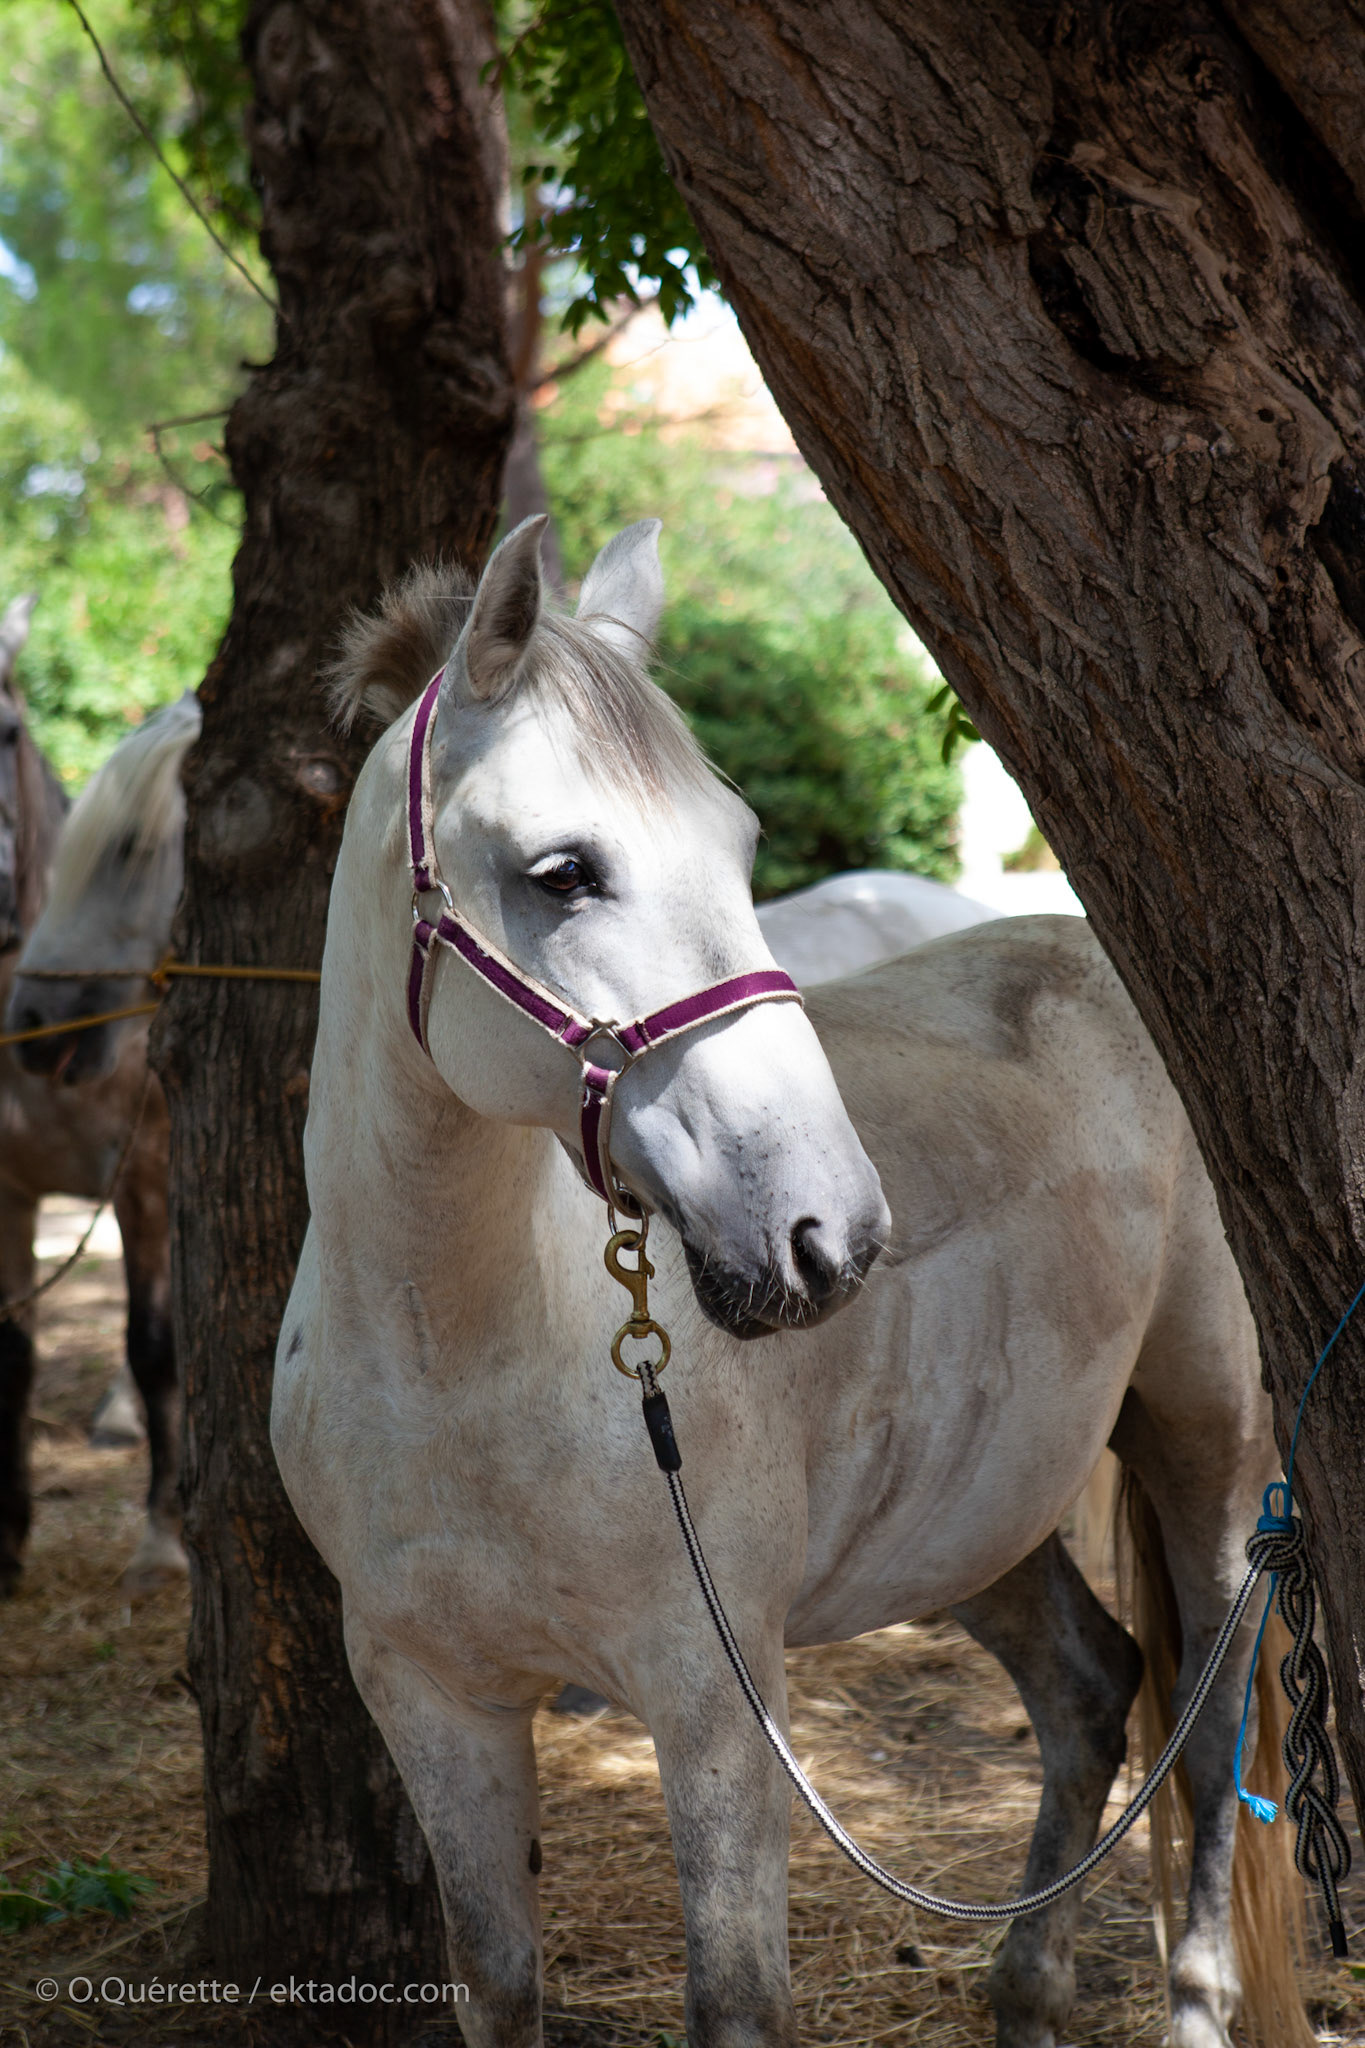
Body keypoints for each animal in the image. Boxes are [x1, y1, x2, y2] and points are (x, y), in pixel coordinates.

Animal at [271, 518, 1305, 2048]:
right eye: (563, 870)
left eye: (743, 843)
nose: (831, 1231)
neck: (453, 1354)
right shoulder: (431, 1699)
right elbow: (499, 1983)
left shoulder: (713, 1698)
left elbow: (739, 1999)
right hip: (966, 1514)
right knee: (1090, 1685)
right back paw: (1024, 1990)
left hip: (1203, 1444)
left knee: (1212, 1714)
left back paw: (1192, 2002)